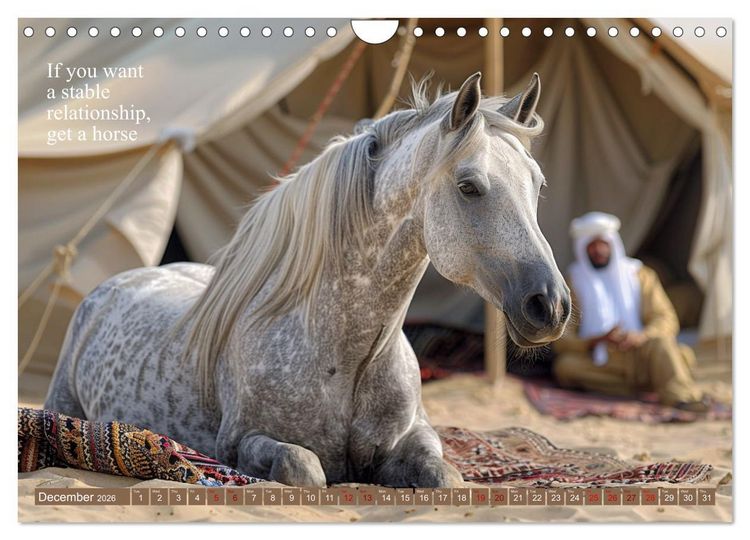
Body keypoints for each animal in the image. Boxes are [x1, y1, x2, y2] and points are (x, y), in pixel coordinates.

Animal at [45, 72, 571, 488]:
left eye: (539, 184)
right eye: (468, 186)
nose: (550, 305)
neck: (346, 356)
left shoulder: (417, 437)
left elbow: (445, 478)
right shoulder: (239, 444)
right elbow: (305, 470)